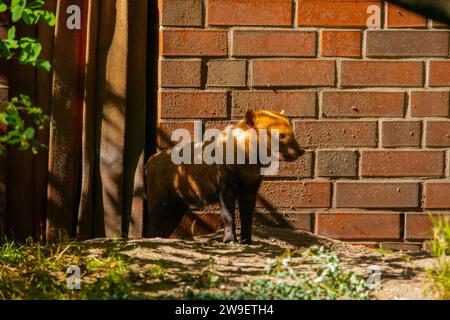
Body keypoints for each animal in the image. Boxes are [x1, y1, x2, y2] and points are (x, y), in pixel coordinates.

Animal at [146, 109, 304, 244]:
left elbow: (248, 217)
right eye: (280, 135)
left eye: (292, 132)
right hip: (159, 203)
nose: (301, 150)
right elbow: (227, 216)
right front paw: (229, 240)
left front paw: (246, 241)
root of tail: (151, 160)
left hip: (176, 209)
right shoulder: (226, 186)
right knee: (150, 228)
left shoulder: (250, 189)